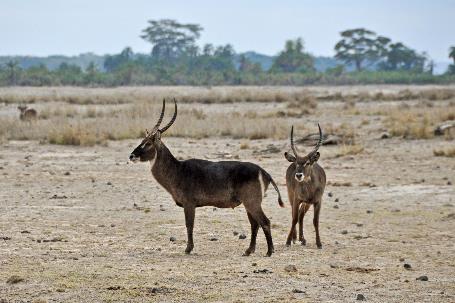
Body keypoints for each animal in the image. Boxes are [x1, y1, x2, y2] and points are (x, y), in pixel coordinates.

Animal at [130, 101, 284, 258]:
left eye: (148, 143)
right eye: (142, 140)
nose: (132, 156)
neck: (178, 169)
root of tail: (264, 172)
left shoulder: (189, 204)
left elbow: (189, 225)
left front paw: (188, 249)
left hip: (252, 202)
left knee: (264, 222)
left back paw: (269, 251)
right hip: (249, 204)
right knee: (255, 224)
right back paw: (248, 251)